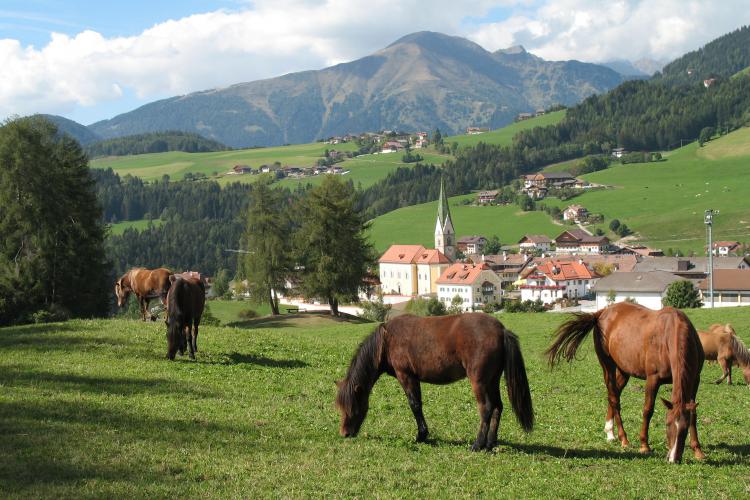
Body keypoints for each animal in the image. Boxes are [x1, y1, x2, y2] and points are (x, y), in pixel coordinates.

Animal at [334, 314, 536, 452]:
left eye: (352, 406)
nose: (344, 433)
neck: (387, 340)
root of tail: (501, 330)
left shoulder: (406, 375)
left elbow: (415, 405)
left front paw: (421, 435)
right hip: (492, 381)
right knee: (497, 407)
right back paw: (490, 443)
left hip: (479, 381)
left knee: (486, 408)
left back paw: (478, 444)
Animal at [548, 300, 704, 464]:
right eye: (667, 424)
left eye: (684, 429)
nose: (673, 458)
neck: (671, 332)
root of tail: (602, 313)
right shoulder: (653, 379)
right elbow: (648, 410)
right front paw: (644, 445)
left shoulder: (695, 380)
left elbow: (693, 414)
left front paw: (697, 450)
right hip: (607, 365)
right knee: (614, 398)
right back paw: (623, 438)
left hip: (624, 370)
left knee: (613, 394)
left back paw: (610, 431)